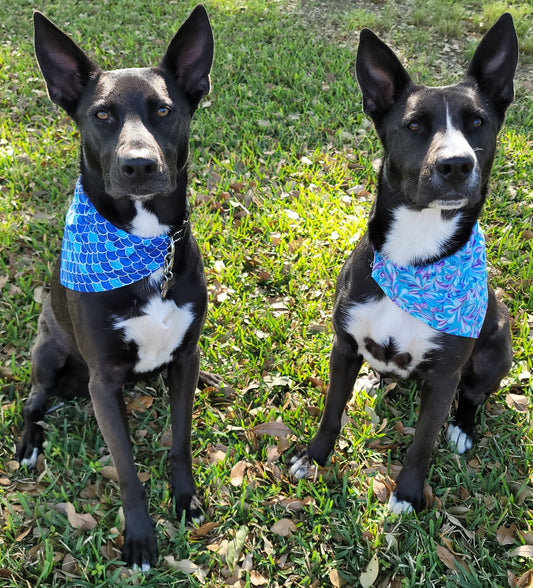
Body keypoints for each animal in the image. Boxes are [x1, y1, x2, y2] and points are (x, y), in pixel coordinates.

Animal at [16, 6, 219, 572]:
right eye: (102, 115)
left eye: (165, 110)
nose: (139, 165)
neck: (144, 245)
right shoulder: (104, 384)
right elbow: (127, 469)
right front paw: (141, 539)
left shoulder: (185, 356)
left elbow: (180, 440)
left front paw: (185, 498)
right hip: (48, 352)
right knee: (33, 401)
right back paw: (29, 442)